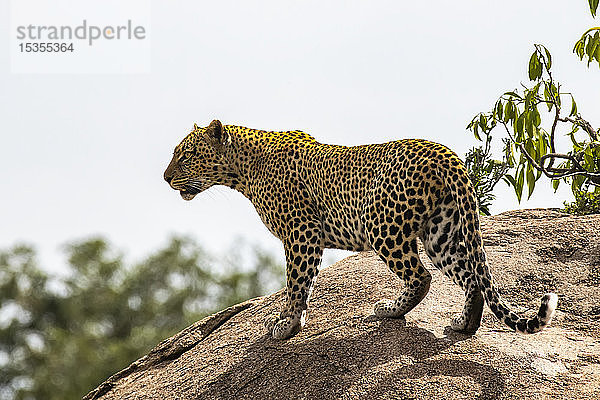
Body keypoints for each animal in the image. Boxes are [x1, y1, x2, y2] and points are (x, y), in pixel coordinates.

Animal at [163, 120, 556, 340]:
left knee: (422, 276)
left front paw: (287, 325)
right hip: (441, 231)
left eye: (186, 155)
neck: (243, 169)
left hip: (383, 226)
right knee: (470, 276)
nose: (166, 178)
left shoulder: (301, 232)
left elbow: (296, 283)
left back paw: (389, 311)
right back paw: (463, 325)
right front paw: (293, 320)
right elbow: (301, 284)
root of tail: (446, 154)